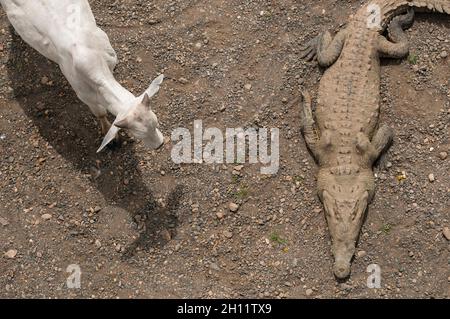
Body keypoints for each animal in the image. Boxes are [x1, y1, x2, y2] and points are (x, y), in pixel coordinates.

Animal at [0, 0, 164, 152]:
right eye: (138, 135)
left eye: (156, 122)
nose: (160, 144)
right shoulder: (84, 95)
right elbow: (100, 114)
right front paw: (110, 135)